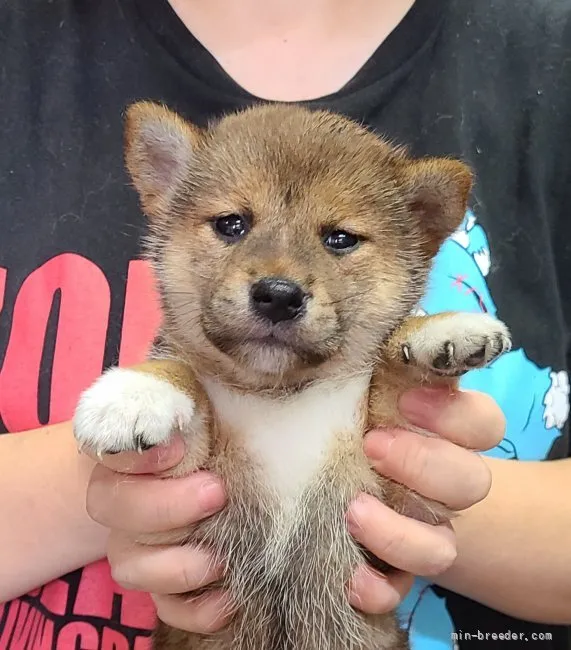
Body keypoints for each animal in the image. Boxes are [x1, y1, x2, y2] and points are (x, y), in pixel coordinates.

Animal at [72, 102, 512, 648]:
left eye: (340, 239)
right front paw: (136, 391)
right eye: (232, 224)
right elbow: (183, 373)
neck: (281, 396)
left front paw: (441, 329)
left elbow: (395, 388)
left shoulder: (396, 497)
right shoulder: (186, 508)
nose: (278, 295)